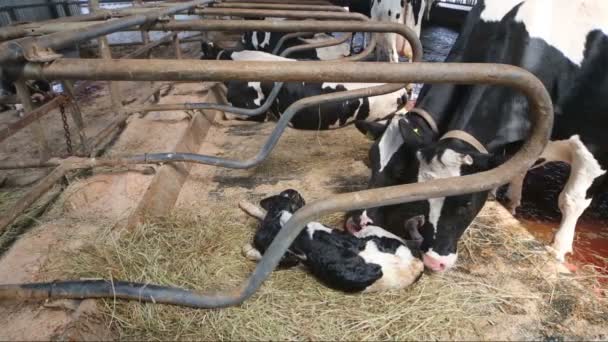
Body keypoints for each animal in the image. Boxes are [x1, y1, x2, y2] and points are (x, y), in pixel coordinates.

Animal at [346, 0, 608, 272]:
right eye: (372, 161)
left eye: (466, 203)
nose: (434, 260)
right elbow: (515, 167)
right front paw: (510, 200)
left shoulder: (593, 149)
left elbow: (570, 200)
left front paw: (558, 249)